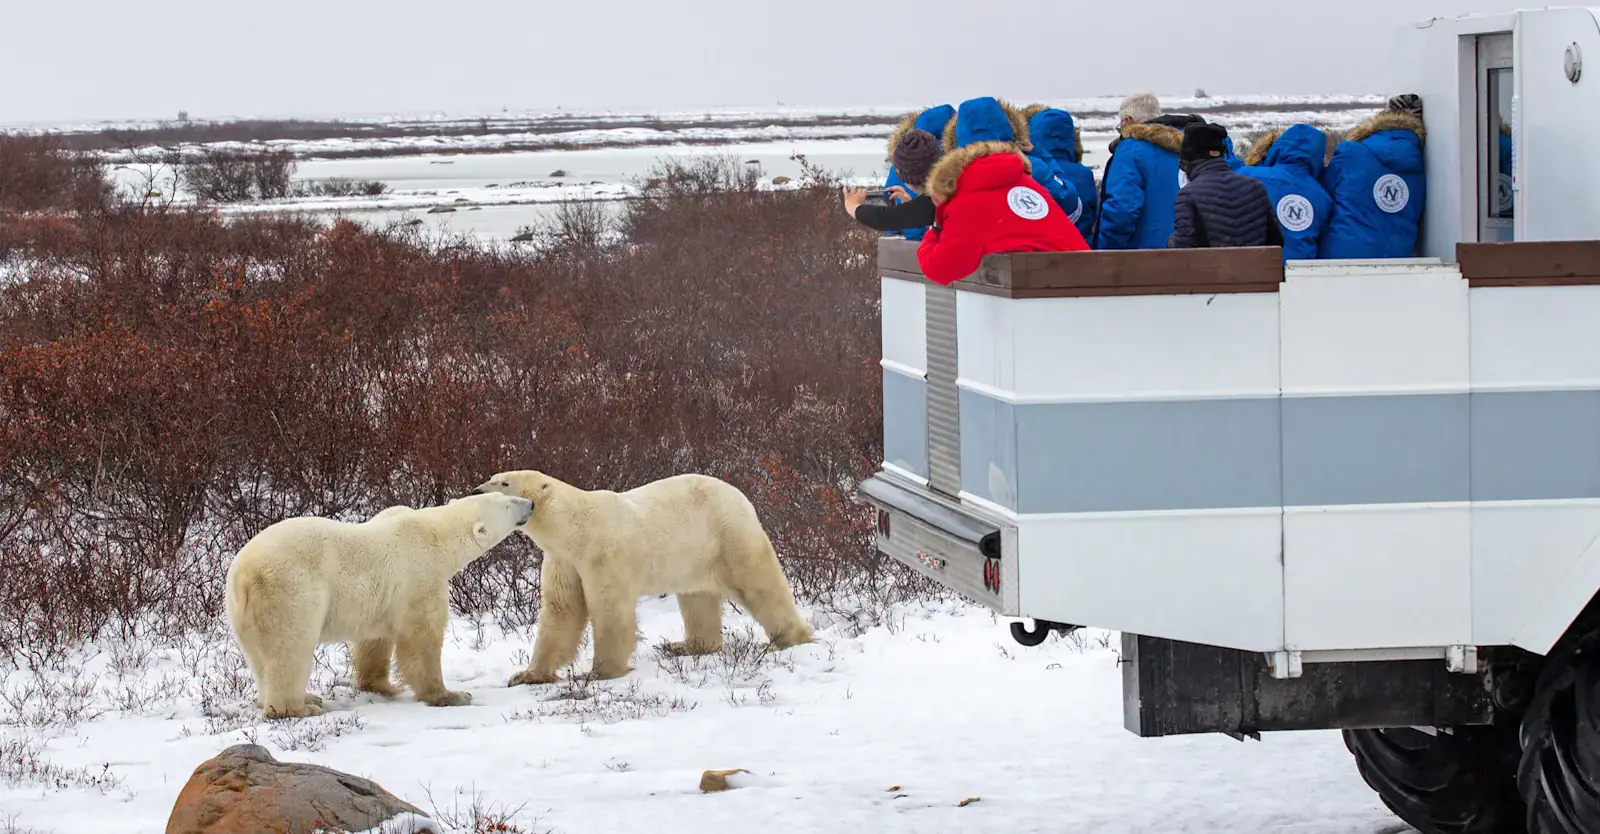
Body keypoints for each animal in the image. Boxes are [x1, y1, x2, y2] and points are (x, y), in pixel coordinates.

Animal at [223, 492, 534, 719]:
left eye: (505, 494)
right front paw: (451, 695)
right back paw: (299, 708)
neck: (434, 533)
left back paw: (296, 697)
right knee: (290, 649)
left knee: (259, 660)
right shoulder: (419, 575)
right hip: (290, 592)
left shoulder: (381, 597)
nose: (530, 503)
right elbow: (422, 638)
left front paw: (382, 686)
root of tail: (244, 575)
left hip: (243, 615)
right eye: (508, 505)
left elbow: (374, 639)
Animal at [470, 469, 813, 686]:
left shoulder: (603, 554)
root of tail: (741, 495)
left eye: (503, 482)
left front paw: (599, 672)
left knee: (759, 583)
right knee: (697, 598)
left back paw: (791, 637)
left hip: (728, 535)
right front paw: (527, 675)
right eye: (491, 477)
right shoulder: (563, 561)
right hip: (692, 555)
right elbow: (561, 610)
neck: (574, 529)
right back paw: (685, 645)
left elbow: (610, 609)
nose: (475, 490)